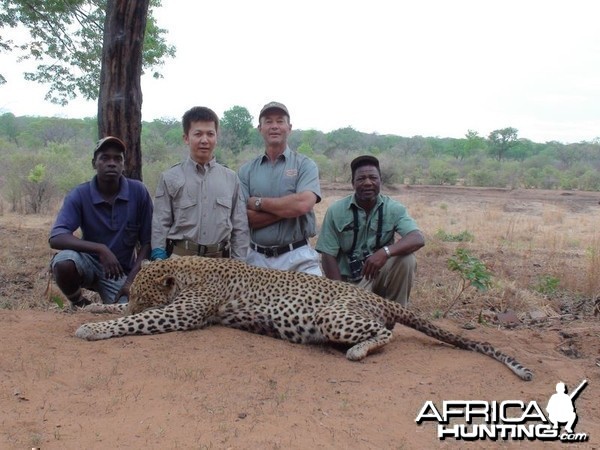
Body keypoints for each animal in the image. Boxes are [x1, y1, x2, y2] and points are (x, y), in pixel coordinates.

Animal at [76, 256, 536, 380]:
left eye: (144, 295)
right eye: (132, 293)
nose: (133, 300)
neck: (186, 269)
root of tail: (370, 296)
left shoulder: (181, 314)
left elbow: (131, 323)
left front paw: (91, 328)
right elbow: (117, 312)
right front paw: (91, 306)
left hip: (335, 318)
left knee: (384, 334)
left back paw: (358, 351)